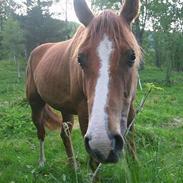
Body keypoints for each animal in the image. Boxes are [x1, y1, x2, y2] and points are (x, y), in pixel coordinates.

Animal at [25, 0, 141, 169]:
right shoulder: (84, 113)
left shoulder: (130, 106)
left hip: (65, 108)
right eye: (79, 59)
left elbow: (131, 142)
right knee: (41, 132)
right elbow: (94, 162)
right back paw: (42, 162)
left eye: (132, 56)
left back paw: (73, 166)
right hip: (36, 104)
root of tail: (37, 50)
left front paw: (135, 165)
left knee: (64, 134)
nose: (104, 143)